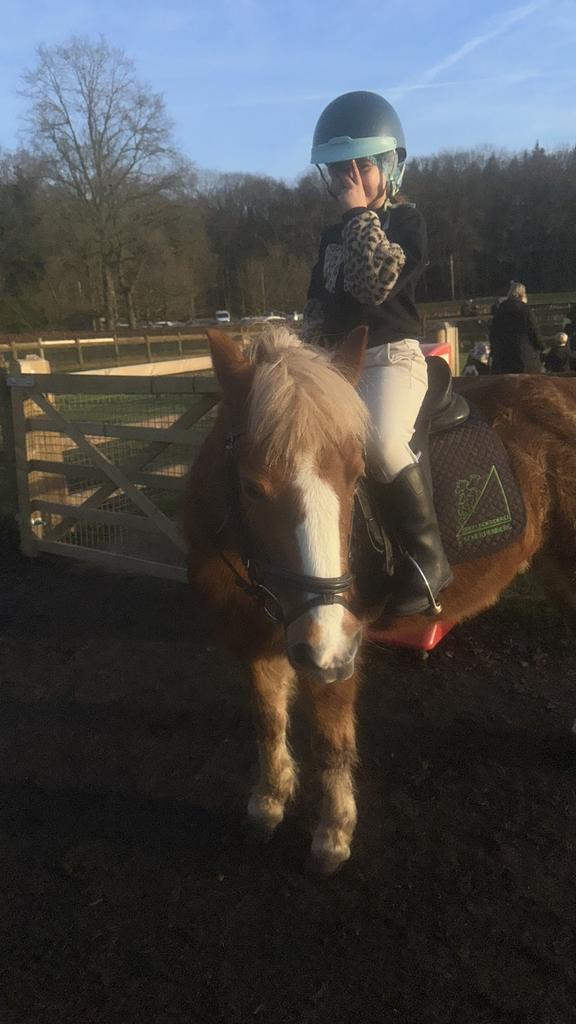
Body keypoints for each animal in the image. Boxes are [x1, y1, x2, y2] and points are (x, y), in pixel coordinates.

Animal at [184, 325, 576, 874]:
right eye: (251, 486)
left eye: (356, 477)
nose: (325, 642)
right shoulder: (256, 642)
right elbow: (267, 720)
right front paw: (268, 802)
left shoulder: (335, 650)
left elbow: (330, 738)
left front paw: (332, 834)